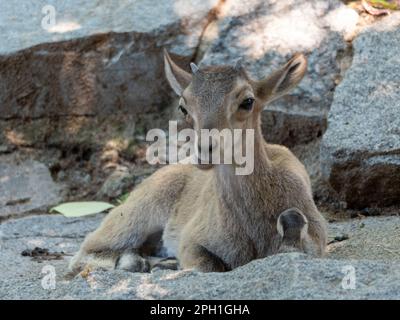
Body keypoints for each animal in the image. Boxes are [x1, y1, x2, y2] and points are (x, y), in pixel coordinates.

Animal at [69, 50, 324, 272]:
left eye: (248, 101)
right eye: (183, 107)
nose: (204, 150)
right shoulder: (192, 239)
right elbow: (206, 265)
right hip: (136, 214)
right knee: (87, 250)